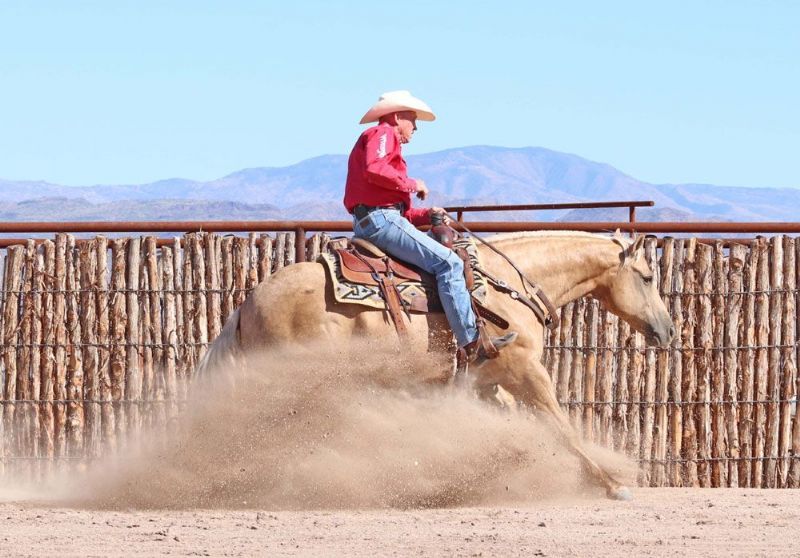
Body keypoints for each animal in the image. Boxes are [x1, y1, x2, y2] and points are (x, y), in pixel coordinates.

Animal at [197, 231, 675, 500]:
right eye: (648, 276)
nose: (668, 331)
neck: (506, 286)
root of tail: (248, 303)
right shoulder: (524, 369)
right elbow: (561, 427)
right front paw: (611, 483)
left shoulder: (485, 381)